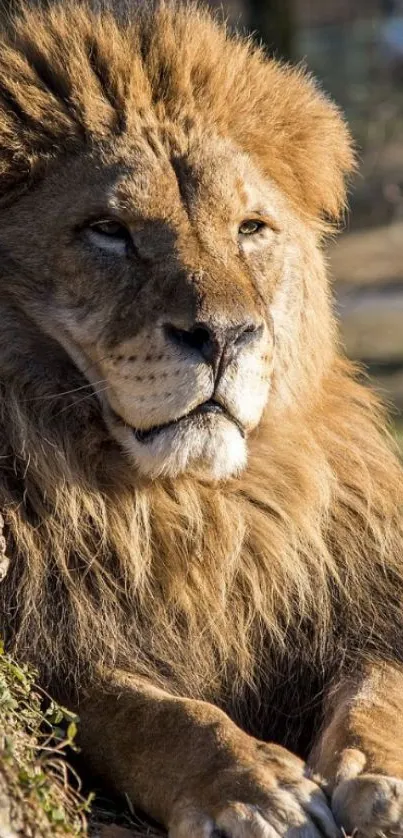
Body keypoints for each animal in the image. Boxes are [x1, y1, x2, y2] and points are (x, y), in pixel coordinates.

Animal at [0, 0, 403, 836]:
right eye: (108, 230)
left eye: (249, 229)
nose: (224, 336)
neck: (188, 509)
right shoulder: (47, 640)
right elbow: (146, 710)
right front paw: (251, 788)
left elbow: (380, 678)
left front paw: (378, 772)